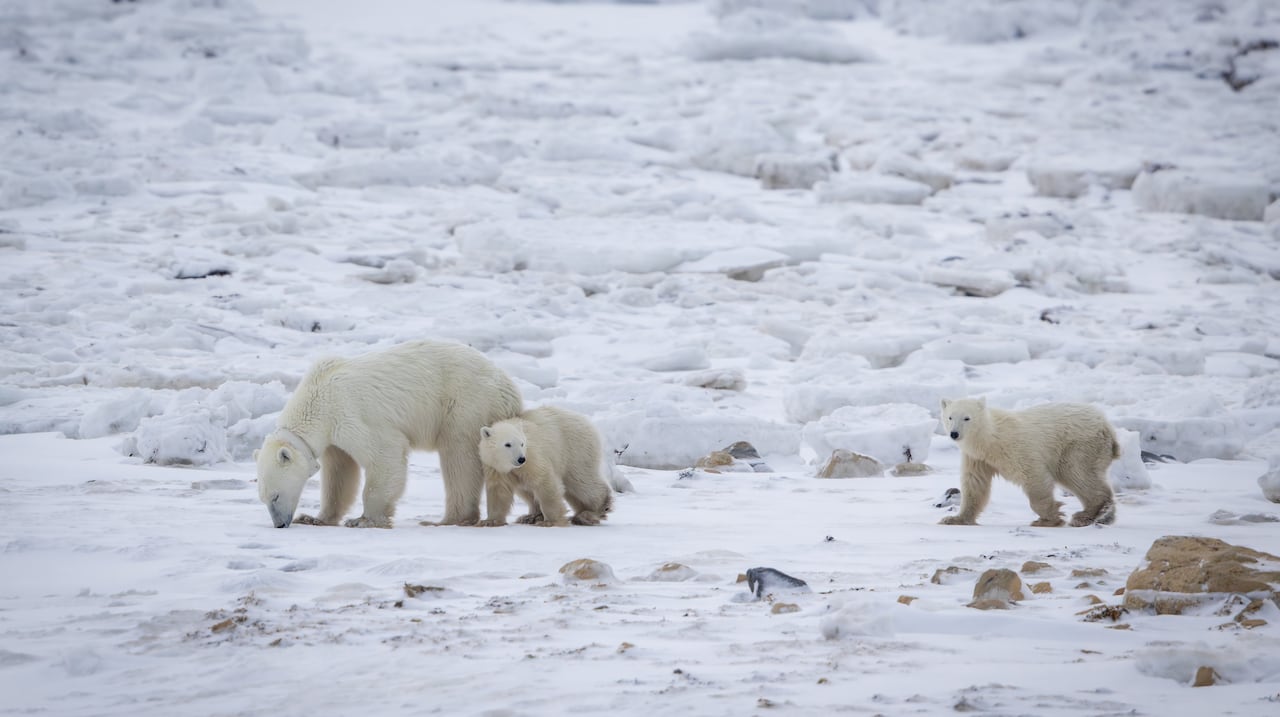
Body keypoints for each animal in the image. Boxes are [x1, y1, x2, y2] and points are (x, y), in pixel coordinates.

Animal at [255, 340, 522, 528]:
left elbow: (384, 453)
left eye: (275, 496)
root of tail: (509, 388)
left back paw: (448, 518)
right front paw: (315, 517)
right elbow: (339, 472)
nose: (279, 524)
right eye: (264, 499)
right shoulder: (333, 438)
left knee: (458, 457)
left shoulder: (349, 414)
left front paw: (364, 519)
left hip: (465, 405)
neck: (317, 396)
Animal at [476, 406, 614, 527]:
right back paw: (530, 517)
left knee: (581, 481)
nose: (521, 459)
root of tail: (585, 420)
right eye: (507, 444)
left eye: (522, 443)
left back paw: (591, 512)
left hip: (575, 450)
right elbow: (499, 491)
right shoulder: (495, 467)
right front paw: (490, 521)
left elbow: (544, 482)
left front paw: (550, 521)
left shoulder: (533, 457)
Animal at [938, 397, 1120, 528]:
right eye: (950, 417)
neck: (989, 439)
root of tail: (1107, 425)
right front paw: (954, 519)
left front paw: (1048, 519)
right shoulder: (978, 458)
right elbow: (975, 484)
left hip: (1077, 445)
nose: (954, 433)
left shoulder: (1015, 448)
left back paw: (1085, 515)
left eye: (967, 418)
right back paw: (1102, 516)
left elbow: (1032, 475)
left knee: (1076, 472)